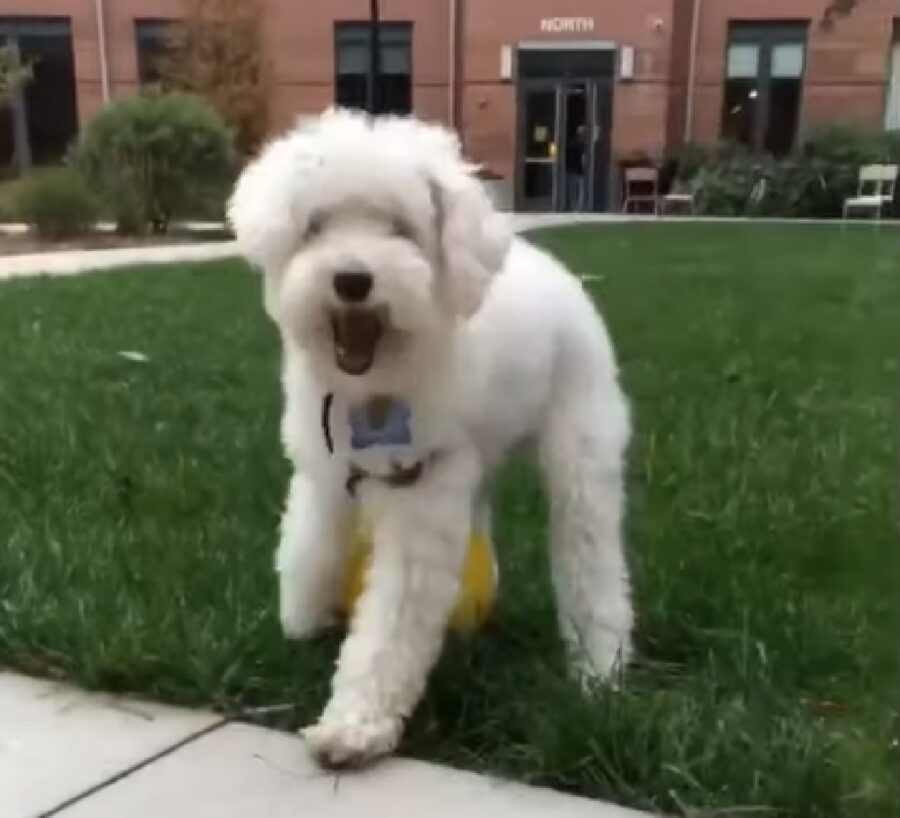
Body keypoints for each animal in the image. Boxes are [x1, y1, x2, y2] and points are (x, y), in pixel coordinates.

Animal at [229, 107, 628, 764]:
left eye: (401, 229)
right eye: (315, 225)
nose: (352, 280)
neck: (377, 386)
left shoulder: (419, 494)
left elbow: (392, 622)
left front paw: (355, 724)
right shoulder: (323, 472)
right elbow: (308, 545)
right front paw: (304, 618)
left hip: (581, 454)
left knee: (590, 559)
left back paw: (601, 668)